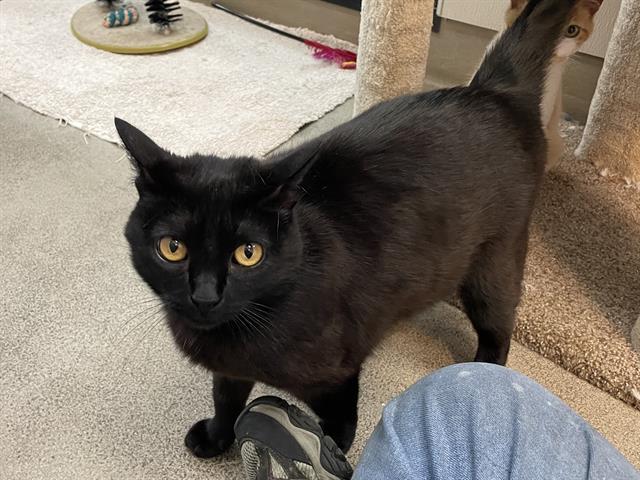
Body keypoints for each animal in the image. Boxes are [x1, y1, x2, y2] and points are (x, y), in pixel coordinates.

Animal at [116, 0, 580, 460]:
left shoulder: (336, 373)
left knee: (499, 324)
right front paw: (217, 436)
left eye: (248, 253)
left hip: (494, 263)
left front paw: (325, 454)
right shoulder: (230, 368)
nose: (205, 296)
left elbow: (342, 421)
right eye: (172, 248)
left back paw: (483, 366)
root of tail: (493, 91)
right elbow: (225, 395)